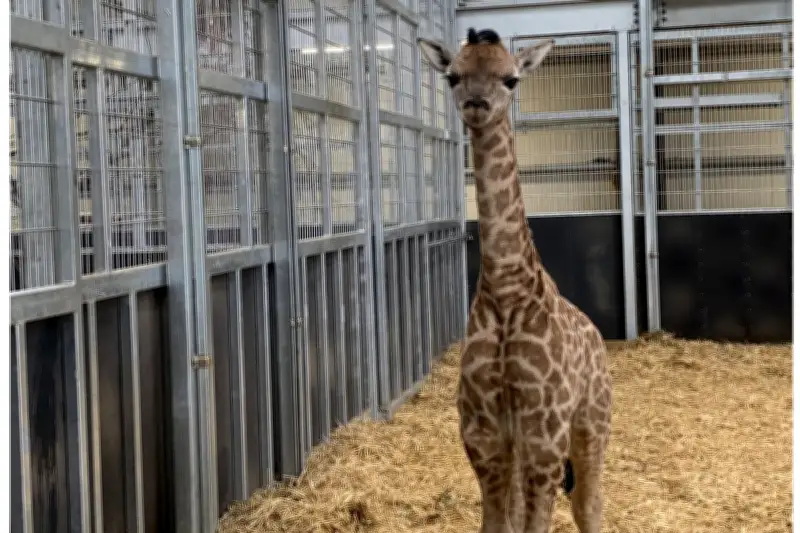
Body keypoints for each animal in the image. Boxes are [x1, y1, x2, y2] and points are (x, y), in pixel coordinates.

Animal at [417, 28, 613, 533]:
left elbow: (538, 521)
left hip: (592, 421)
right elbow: (497, 522)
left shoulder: (546, 432)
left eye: (512, 79)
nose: (477, 103)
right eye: (453, 76)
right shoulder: (483, 432)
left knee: (588, 503)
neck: (506, 291)